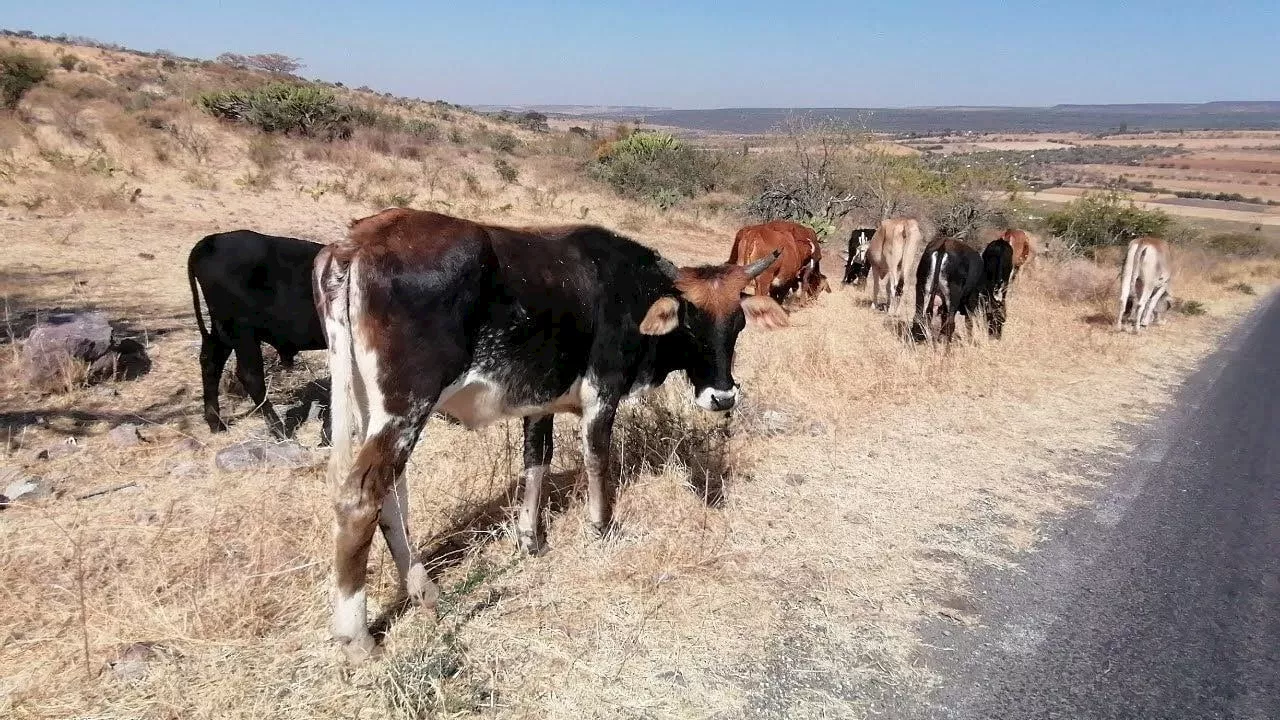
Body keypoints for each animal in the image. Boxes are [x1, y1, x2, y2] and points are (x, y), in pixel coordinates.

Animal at [192, 228, 330, 438]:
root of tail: (211, 240)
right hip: (242, 332)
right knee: (250, 376)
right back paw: (279, 429)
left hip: (222, 331)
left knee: (211, 363)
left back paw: (216, 424)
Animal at [312, 207, 788, 655]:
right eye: (690, 323)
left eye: (738, 324)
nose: (723, 397)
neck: (628, 289)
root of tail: (358, 240)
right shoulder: (603, 391)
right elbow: (597, 458)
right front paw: (600, 526)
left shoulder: (539, 401)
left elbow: (536, 461)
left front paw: (530, 538)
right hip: (406, 408)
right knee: (362, 498)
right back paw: (357, 637)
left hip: (373, 409)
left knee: (390, 497)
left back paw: (424, 591)